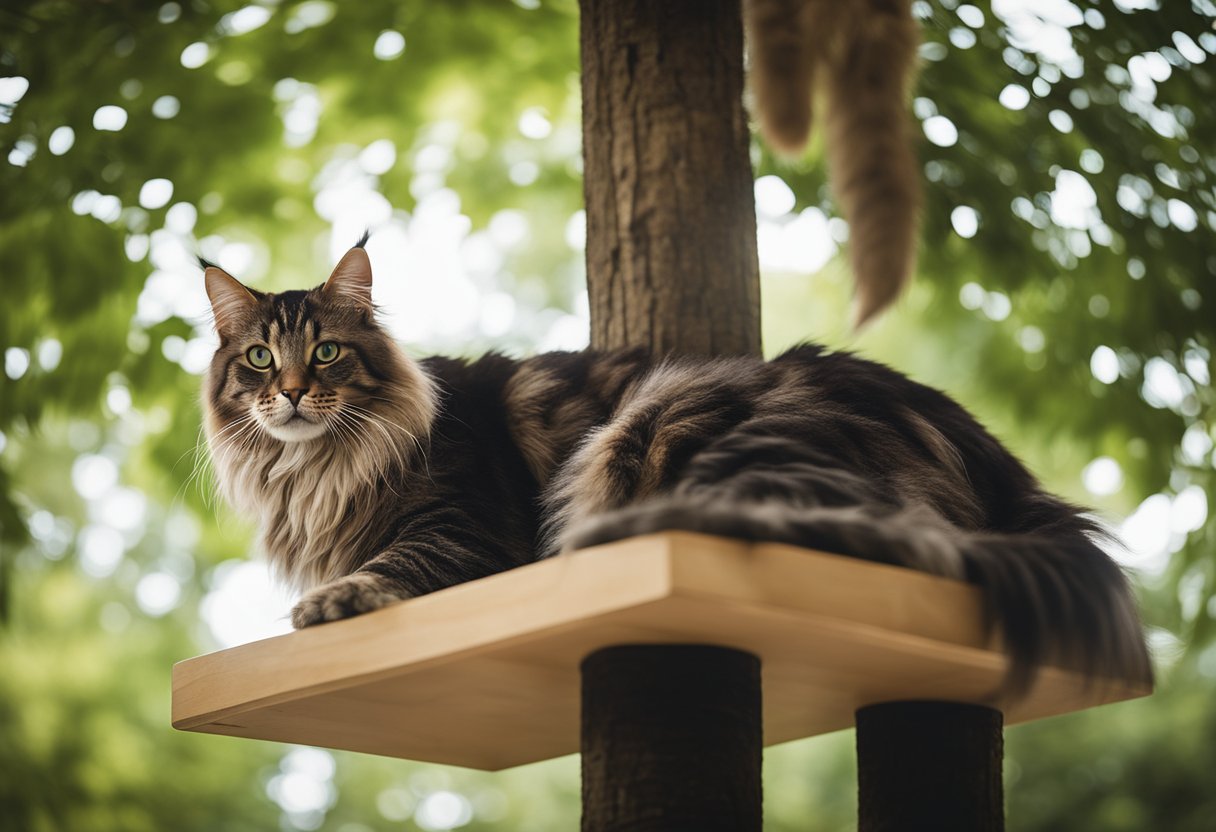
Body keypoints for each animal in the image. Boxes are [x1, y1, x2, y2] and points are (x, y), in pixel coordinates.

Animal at [204, 237, 1152, 690]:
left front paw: (328, 603)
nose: (291, 392)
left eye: (326, 353)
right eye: (258, 359)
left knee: (880, 538)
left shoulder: (466, 528)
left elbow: (389, 565)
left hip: (670, 424)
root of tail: (1002, 465)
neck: (314, 472)